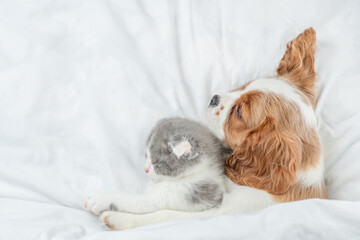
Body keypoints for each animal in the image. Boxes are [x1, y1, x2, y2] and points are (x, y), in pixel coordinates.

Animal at [83, 117, 272, 230]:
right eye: (146, 157)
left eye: (156, 163)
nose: (145, 169)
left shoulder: (184, 194)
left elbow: (138, 201)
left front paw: (99, 199)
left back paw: (115, 219)